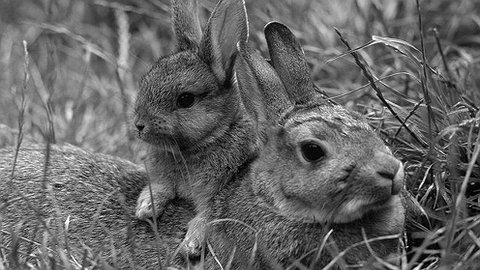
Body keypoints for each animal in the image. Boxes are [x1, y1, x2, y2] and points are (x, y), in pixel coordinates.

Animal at [133, 0, 256, 258]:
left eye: (186, 99)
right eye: (147, 80)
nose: (139, 124)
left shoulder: (217, 192)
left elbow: (207, 217)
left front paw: (191, 245)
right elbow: (160, 187)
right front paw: (145, 207)